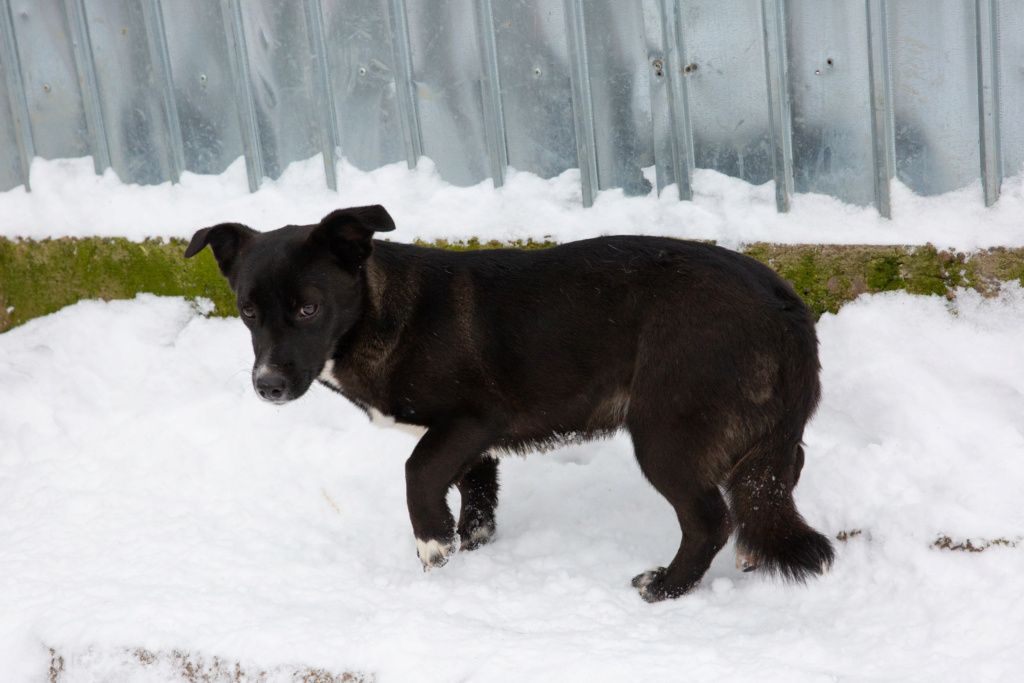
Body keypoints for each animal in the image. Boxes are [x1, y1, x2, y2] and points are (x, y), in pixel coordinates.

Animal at [188, 205, 835, 602]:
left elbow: (417, 472)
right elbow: (475, 494)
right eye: (248, 311)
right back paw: (751, 550)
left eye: (308, 308)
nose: (267, 385)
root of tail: (782, 302)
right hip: (754, 431)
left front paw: (432, 547)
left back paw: (666, 587)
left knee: (709, 520)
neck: (379, 310)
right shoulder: (472, 445)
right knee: (776, 476)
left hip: (665, 437)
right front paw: (469, 544)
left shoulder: (472, 421)